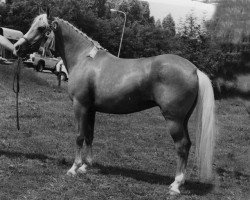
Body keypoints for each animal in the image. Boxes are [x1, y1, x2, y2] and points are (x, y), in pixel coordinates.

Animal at [13, 13, 217, 195]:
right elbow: (89, 135)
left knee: (181, 146)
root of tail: (194, 69)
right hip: (183, 119)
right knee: (188, 144)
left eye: (41, 28)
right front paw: (86, 166)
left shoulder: (80, 106)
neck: (84, 59)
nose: (17, 47)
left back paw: (176, 185)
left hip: (173, 119)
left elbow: (79, 136)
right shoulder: (91, 109)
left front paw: (74, 168)